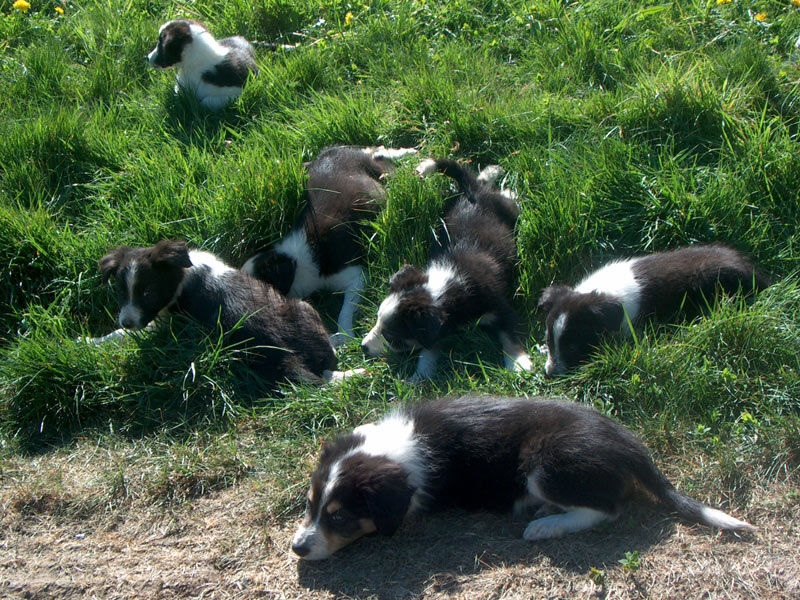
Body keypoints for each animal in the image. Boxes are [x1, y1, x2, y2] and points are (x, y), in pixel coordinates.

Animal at [242, 145, 418, 346]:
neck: (294, 263)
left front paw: (344, 335)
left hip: (378, 172)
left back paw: (409, 155)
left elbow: (345, 311)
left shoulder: (357, 275)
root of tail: (332, 149)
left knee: (382, 158)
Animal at [290, 396, 752, 560]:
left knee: (609, 508)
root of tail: (633, 446)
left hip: (544, 460)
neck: (397, 447)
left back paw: (546, 525)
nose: (297, 549)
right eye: (310, 505)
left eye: (341, 516)